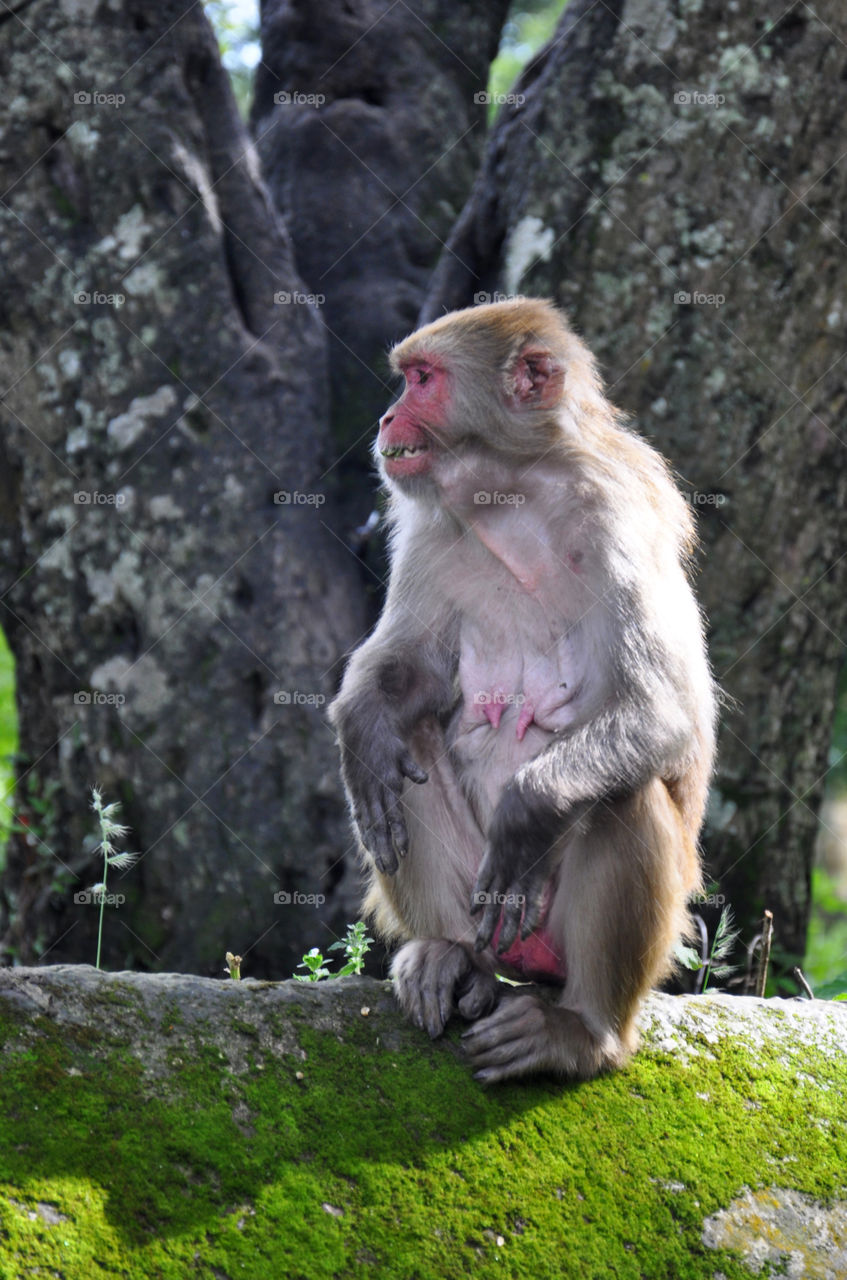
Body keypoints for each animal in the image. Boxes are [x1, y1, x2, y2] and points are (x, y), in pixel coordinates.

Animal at [328, 298, 716, 1082]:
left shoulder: (616, 518)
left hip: (582, 933)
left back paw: (583, 1033)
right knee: (404, 749)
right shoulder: (427, 526)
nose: (385, 418)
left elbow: (663, 714)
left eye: (422, 379)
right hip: (487, 924)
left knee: (623, 795)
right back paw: (452, 960)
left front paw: (527, 810)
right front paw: (359, 727)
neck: (513, 497)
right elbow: (408, 673)